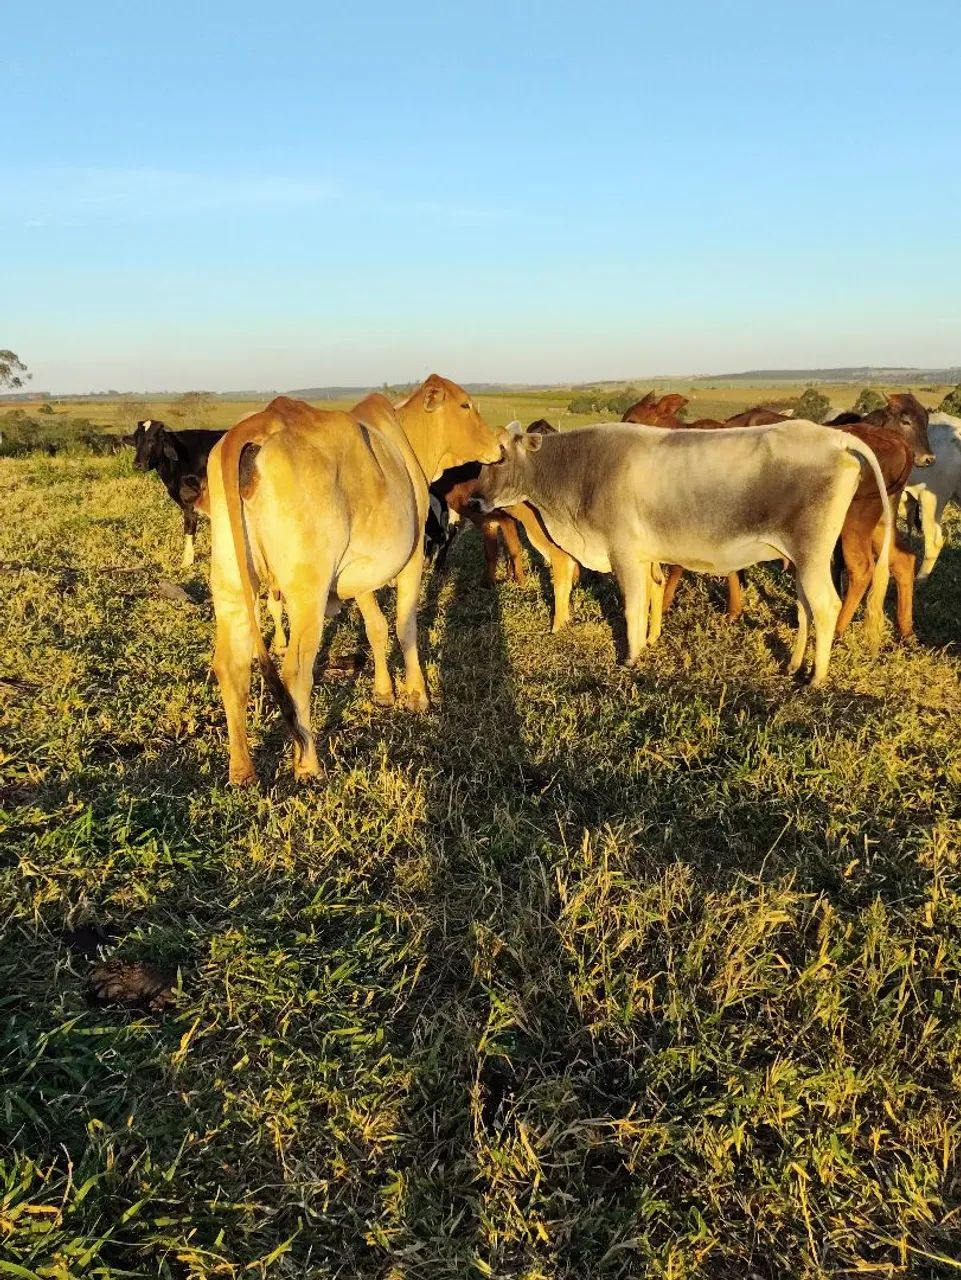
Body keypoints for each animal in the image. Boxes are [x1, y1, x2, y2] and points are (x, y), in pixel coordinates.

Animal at [128, 418, 226, 567]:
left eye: (152, 441)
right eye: (136, 440)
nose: (137, 465)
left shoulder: (190, 502)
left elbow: (189, 529)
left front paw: (186, 562)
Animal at [206, 375, 500, 784]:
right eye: (465, 405)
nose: (499, 445)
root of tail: (258, 423)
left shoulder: (359, 575)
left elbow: (375, 627)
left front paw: (384, 691)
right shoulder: (411, 560)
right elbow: (405, 626)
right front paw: (417, 694)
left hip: (232, 583)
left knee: (230, 666)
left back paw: (241, 769)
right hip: (308, 592)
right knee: (296, 670)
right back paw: (308, 764)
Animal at [473, 420, 892, 685]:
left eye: (500, 456)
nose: (476, 498)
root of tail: (835, 437)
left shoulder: (624, 552)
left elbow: (633, 605)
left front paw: (631, 657)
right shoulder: (644, 556)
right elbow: (649, 597)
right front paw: (647, 641)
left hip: (813, 555)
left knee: (826, 606)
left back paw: (816, 678)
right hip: (802, 559)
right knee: (806, 609)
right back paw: (793, 665)